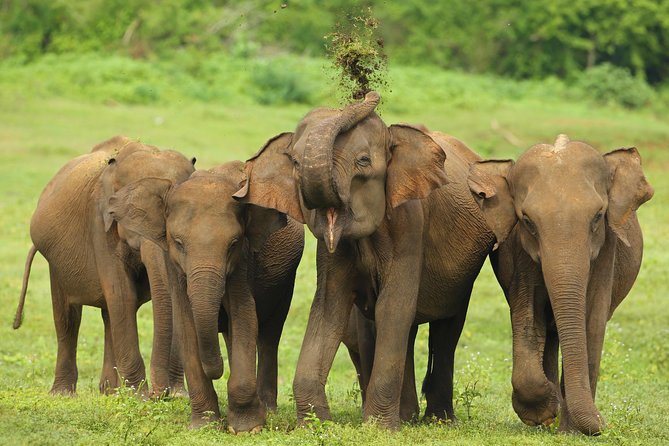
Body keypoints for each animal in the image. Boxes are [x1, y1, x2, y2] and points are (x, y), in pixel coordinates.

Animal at [13, 136, 195, 396]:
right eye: (132, 214)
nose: (161, 394)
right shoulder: (99, 222)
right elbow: (122, 293)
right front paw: (140, 397)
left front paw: (176, 396)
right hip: (55, 262)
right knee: (68, 317)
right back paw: (64, 394)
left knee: (109, 315)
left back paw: (109, 391)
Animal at [105, 161, 304, 433]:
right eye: (178, 243)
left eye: (233, 243)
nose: (217, 371)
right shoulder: (174, 266)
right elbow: (186, 325)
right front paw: (204, 426)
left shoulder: (243, 262)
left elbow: (244, 316)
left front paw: (247, 429)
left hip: (285, 281)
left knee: (269, 335)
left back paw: (268, 410)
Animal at [233, 91, 497, 429]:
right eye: (294, 162)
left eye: (363, 161)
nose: (366, 93)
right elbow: (329, 308)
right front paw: (316, 424)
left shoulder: (410, 225)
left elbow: (393, 307)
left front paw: (380, 428)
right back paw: (408, 416)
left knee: (445, 331)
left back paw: (438, 420)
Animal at [467, 134, 654, 434]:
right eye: (528, 221)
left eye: (598, 216)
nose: (604, 422)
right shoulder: (520, 252)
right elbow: (528, 316)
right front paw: (543, 411)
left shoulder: (606, 251)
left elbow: (592, 322)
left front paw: (572, 430)